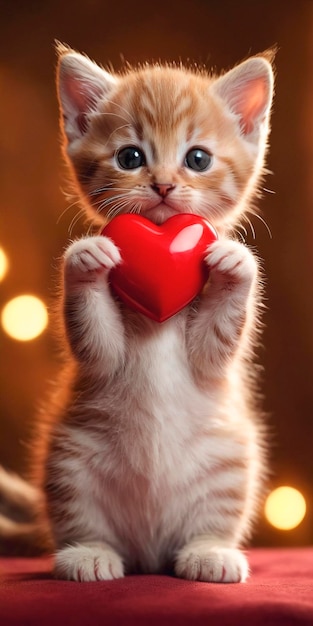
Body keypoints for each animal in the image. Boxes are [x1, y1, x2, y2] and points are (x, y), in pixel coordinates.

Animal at [42, 46, 272, 584]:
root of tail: (148, 552)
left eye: (197, 158)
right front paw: (85, 259)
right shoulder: (102, 356)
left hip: (230, 458)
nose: (164, 185)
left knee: (210, 522)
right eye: (130, 157)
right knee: (83, 519)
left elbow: (216, 342)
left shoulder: (211, 356)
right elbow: (96, 341)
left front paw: (234, 265)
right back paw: (87, 555)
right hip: (70, 460)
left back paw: (210, 553)